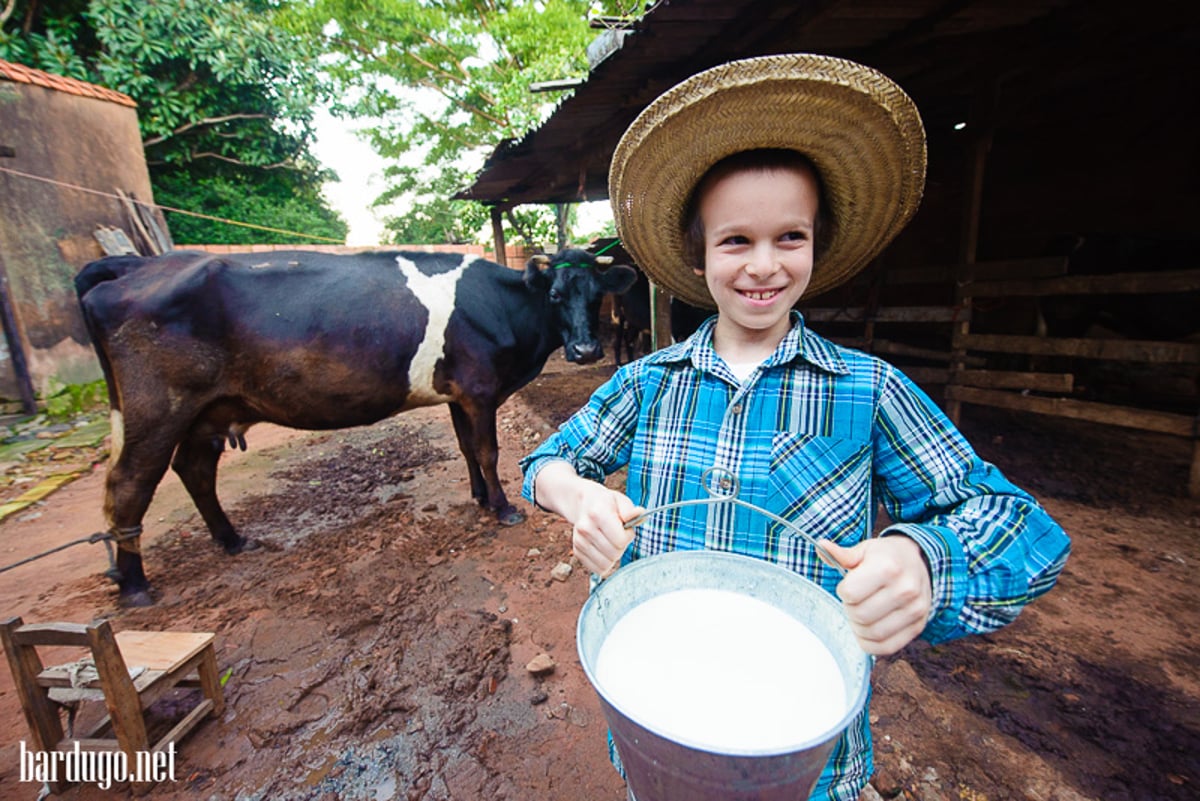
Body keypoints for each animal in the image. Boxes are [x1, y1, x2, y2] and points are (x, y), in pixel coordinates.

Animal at [75, 247, 638, 604]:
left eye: (596, 295)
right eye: (555, 295)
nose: (586, 350)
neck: (501, 305)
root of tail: (136, 264)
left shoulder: (457, 394)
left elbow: (464, 448)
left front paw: (479, 498)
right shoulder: (479, 390)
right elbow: (486, 451)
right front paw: (501, 509)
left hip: (209, 411)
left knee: (193, 469)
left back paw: (231, 540)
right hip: (157, 409)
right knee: (128, 486)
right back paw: (135, 587)